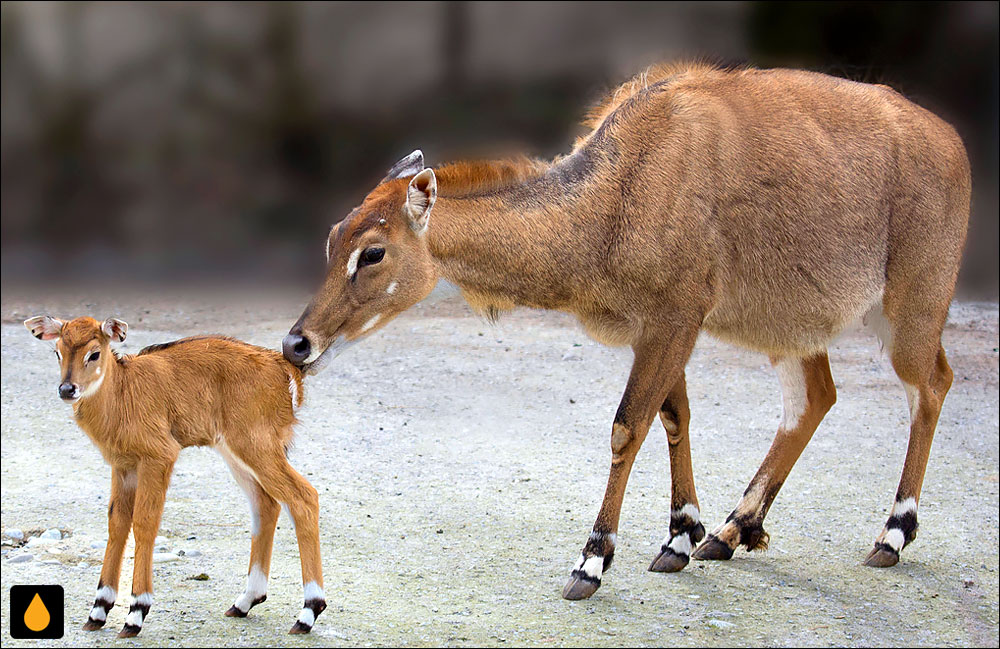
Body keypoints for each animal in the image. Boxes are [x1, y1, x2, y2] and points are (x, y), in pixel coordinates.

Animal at [25, 316, 326, 636]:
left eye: (94, 353)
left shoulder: (159, 455)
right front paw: (98, 611)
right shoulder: (122, 465)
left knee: (303, 497)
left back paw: (308, 612)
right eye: (57, 351)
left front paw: (136, 612)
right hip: (235, 451)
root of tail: (286, 371)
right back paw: (244, 601)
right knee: (266, 505)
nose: (67, 389)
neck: (122, 393)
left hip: (257, 445)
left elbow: (144, 522)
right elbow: (117, 523)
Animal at [282, 63, 968, 600]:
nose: (296, 344)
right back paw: (732, 531)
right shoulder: (657, 329)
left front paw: (592, 561)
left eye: (372, 252)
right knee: (815, 397)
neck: (611, 201)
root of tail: (953, 142)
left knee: (931, 383)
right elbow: (673, 416)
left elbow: (626, 426)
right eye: (333, 235)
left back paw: (893, 534)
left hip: (911, 304)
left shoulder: (675, 316)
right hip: (790, 327)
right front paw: (682, 537)